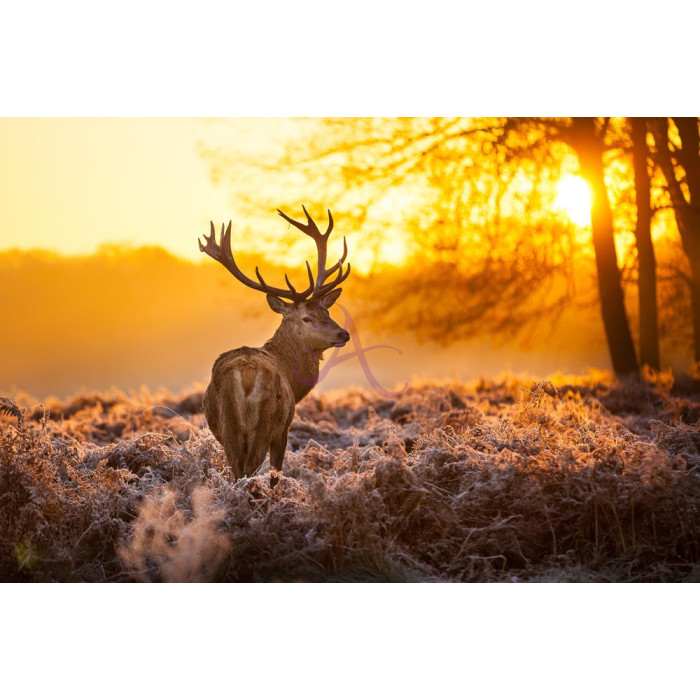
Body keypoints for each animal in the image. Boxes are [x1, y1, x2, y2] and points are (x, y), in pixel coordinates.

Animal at [199, 206, 351, 487]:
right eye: (306, 317)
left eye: (326, 311)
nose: (343, 333)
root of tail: (246, 373)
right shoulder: (284, 429)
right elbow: (276, 474)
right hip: (265, 423)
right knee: (249, 470)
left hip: (229, 428)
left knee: (237, 471)